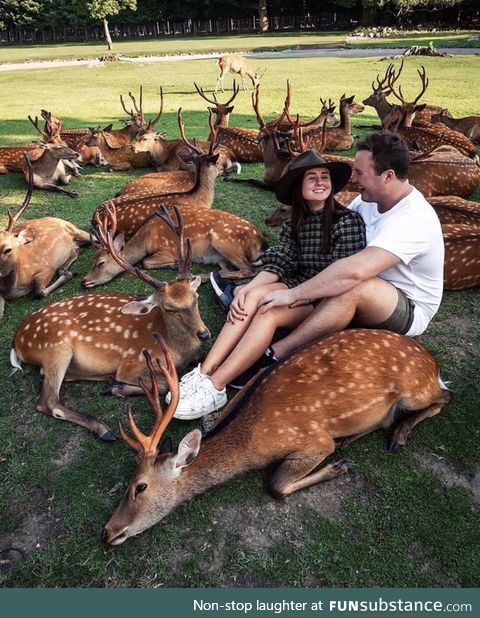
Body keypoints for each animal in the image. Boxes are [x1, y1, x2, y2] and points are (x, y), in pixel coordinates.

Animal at [0, 156, 90, 318]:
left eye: (8, 249)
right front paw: (66, 272)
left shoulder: (46, 269)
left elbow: (38, 292)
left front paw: (68, 275)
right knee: (78, 250)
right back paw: (65, 267)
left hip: (78, 231)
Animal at [10, 209, 210, 440]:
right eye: (169, 308)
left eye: (196, 298)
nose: (204, 334)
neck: (176, 348)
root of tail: (17, 341)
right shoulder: (132, 362)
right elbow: (163, 386)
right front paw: (118, 388)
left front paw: (114, 387)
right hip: (55, 346)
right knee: (48, 401)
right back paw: (103, 427)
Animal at [84, 202, 268, 288]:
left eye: (100, 263)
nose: (84, 281)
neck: (146, 238)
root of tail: (261, 243)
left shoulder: (169, 249)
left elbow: (145, 262)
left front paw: (173, 264)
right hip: (220, 256)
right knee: (228, 269)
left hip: (224, 241)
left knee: (249, 269)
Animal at [101, 328, 450, 544]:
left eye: (140, 487)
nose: (107, 532)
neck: (251, 441)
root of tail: (433, 362)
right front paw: (340, 459)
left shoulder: (312, 439)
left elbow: (276, 485)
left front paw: (339, 467)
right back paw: (353, 438)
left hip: (416, 390)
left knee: (444, 398)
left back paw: (399, 434)